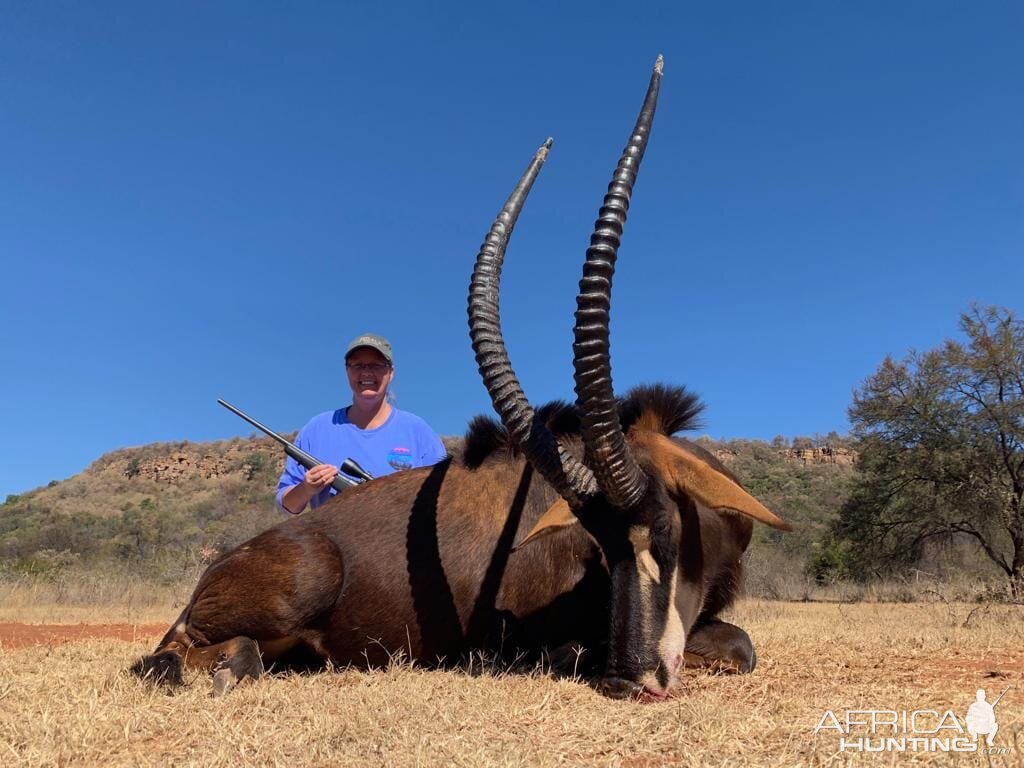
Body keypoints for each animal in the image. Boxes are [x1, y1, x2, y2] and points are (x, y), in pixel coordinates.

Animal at [132, 57, 790, 700]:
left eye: (665, 526)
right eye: (602, 546)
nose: (631, 678)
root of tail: (217, 569)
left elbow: (742, 644)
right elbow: (721, 646)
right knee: (171, 654)